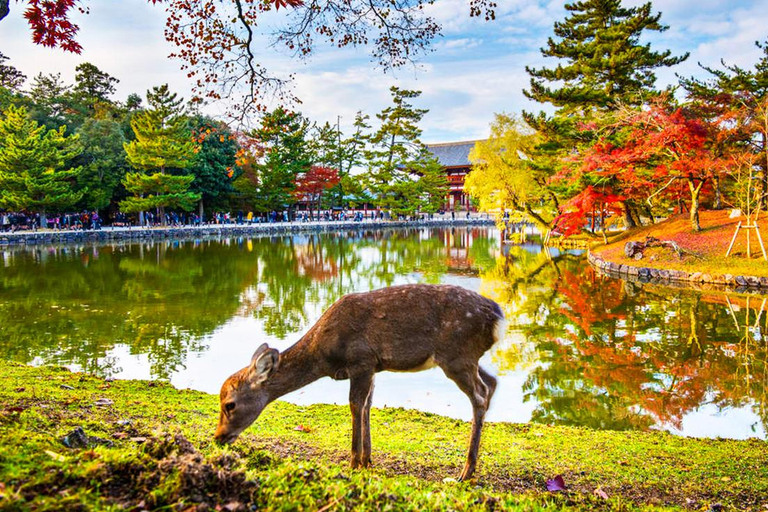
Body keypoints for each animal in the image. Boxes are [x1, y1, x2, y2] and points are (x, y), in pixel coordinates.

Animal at [214, 284, 504, 480]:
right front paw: (367, 461)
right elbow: (367, 405)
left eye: (229, 404)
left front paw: (353, 463)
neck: (324, 354)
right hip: (466, 358)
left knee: (479, 394)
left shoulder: (361, 359)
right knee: (491, 382)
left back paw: (466, 471)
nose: (218, 437)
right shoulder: (372, 366)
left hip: (456, 355)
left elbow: (355, 404)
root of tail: (498, 317)